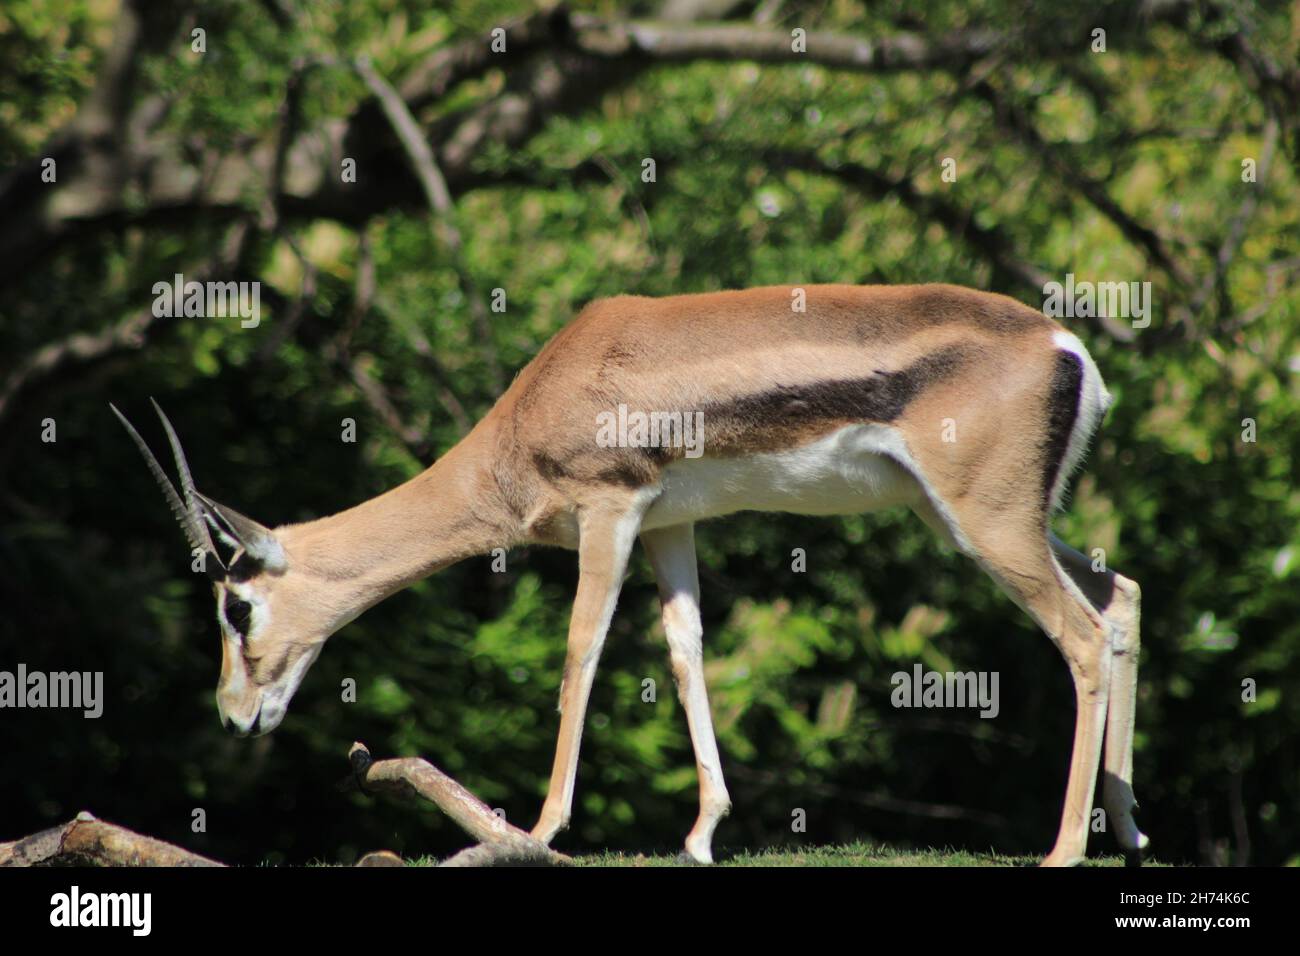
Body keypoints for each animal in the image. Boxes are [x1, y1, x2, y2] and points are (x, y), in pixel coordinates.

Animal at [114, 283, 1147, 866]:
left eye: (236, 608)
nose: (234, 715)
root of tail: (1065, 348)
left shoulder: (607, 514)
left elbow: (582, 651)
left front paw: (536, 831)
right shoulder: (669, 525)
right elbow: (686, 650)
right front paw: (699, 837)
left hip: (986, 523)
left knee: (1083, 635)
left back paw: (1062, 851)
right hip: (984, 518)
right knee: (1121, 598)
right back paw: (1129, 834)